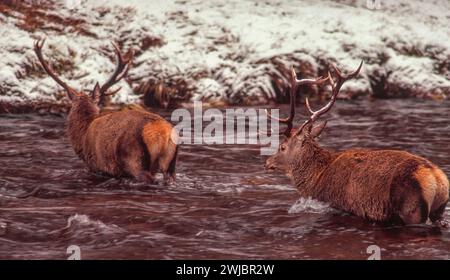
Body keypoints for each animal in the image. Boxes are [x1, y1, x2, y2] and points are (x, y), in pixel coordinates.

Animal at [266, 61, 448, 225]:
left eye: (282, 147)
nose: (267, 162)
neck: (315, 180)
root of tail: (437, 178)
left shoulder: (333, 203)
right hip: (439, 209)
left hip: (411, 208)